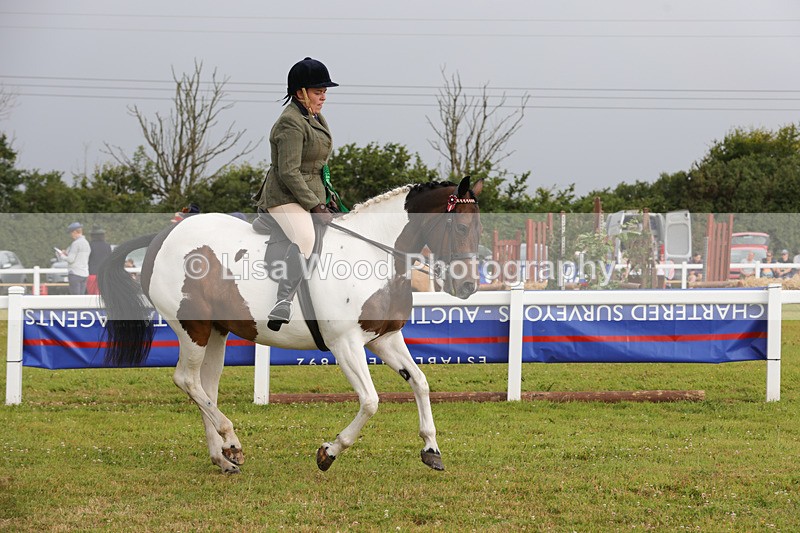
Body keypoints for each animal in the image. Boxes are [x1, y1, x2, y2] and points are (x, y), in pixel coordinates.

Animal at [98, 176, 484, 474]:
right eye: (461, 227)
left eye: (477, 228)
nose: (467, 286)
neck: (374, 254)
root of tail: (162, 236)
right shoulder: (346, 343)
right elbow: (370, 401)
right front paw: (329, 452)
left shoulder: (383, 338)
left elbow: (420, 382)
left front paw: (431, 449)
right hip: (192, 328)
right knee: (187, 380)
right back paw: (232, 441)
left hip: (216, 331)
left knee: (205, 387)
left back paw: (222, 457)